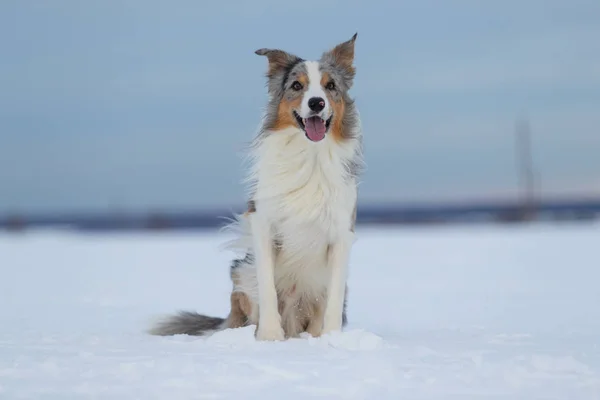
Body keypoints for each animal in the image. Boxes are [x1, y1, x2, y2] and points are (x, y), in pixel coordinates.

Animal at [152, 33, 364, 340]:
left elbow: (333, 298)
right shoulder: (264, 224)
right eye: (297, 86)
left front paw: (331, 339)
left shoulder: (340, 232)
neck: (309, 155)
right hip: (241, 271)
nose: (317, 103)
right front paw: (269, 337)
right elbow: (268, 290)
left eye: (330, 86)